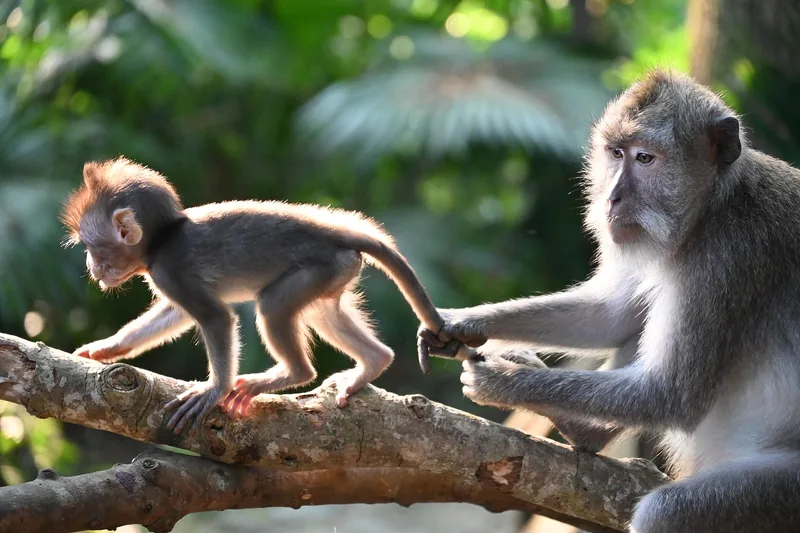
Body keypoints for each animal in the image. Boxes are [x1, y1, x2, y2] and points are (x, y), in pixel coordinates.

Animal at [61, 157, 471, 435]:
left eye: (93, 247)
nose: (91, 266)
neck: (160, 240)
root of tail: (334, 231)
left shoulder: (169, 271)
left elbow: (215, 317)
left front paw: (214, 390)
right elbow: (174, 315)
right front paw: (107, 348)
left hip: (318, 267)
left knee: (273, 307)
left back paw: (290, 373)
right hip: (337, 269)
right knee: (323, 312)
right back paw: (373, 362)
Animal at [419, 69, 800, 532]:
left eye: (646, 158)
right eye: (617, 154)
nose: (612, 198)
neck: (712, 209)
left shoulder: (729, 261)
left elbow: (670, 394)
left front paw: (503, 382)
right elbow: (610, 316)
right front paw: (461, 322)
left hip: (781, 496)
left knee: (667, 510)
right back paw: (585, 432)